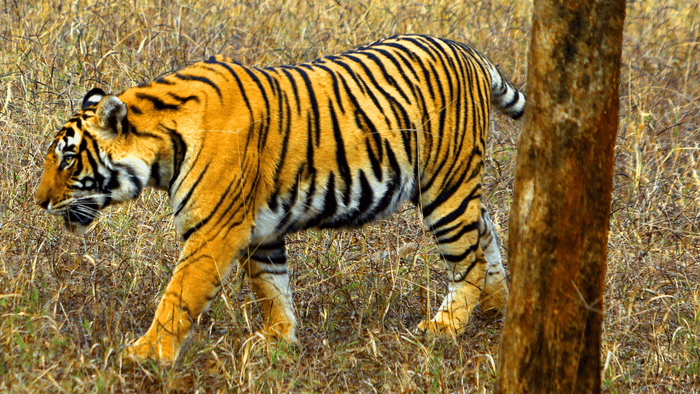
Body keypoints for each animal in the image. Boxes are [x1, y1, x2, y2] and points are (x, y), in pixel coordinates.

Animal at [35, 34, 524, 364]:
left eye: (68, 159)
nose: (38, 202)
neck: (163, 147)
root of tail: (469, 51)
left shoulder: (213, 232)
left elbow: (179, 296)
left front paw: (146, 354)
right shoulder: (259, 227)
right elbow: (271, 286)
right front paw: (279, 340)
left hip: (446, 186)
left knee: (468, 258)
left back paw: (446, 327)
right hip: (456, 190)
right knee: (487, 232)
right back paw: (499, 307)